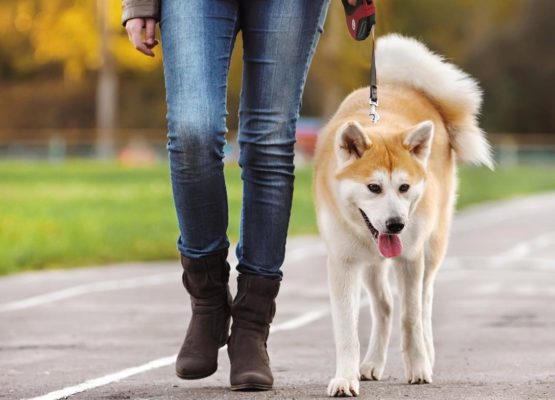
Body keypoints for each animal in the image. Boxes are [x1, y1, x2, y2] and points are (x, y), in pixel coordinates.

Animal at [314, 35, 494, 396]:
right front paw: (346, 377)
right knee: (384, 305)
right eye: (373, 187)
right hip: (372, 265)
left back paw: (427, 352)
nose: (396, 224)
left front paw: (419, 367)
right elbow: (346, 328)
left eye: (404, 187)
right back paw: (371, 364)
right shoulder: (343, 262)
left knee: (424, 301)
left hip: (432, 248)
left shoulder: (410, 257)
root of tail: (402, 85)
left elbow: (410, 318)